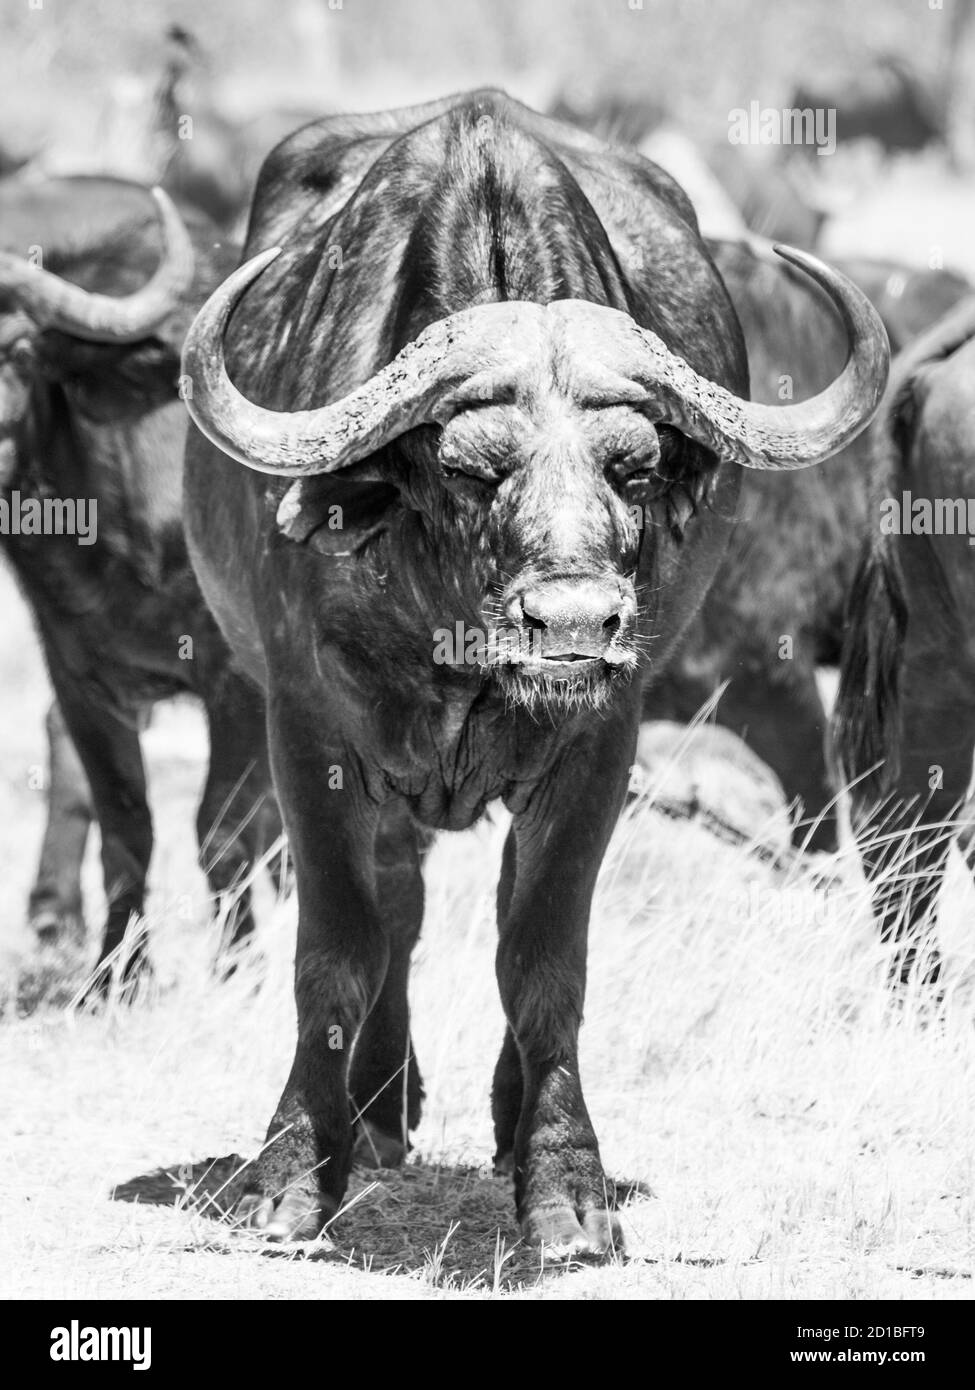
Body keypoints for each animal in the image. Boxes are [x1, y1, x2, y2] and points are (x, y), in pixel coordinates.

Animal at [0, 176, 278, 989]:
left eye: (16, 347)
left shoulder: (238, 680)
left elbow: (223, 826)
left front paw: (241, 967)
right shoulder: (79, 675)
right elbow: (127, 825)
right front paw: (114, 977)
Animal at [179, 92, 884, 1256]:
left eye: (633, 468)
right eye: (469, 468)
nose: (574, 624)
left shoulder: (602, 743)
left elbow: (543, 955)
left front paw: (562, 1191)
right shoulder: (308, 728)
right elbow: (337, 948)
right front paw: (289, 1174)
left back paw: (492, 1125)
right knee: (400, 906)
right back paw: (377, 1116)